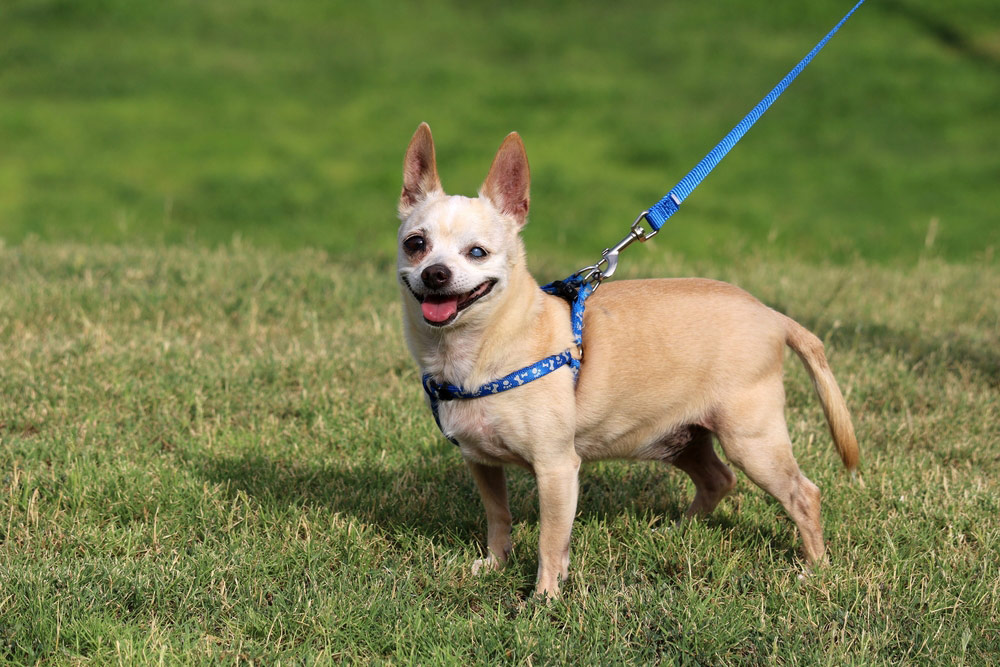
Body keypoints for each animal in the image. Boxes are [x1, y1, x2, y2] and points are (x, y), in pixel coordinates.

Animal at [394, 122, 856, 596]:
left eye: (477, 252)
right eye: (415, 244)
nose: (435, 273)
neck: (473, 353)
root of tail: (773, 315)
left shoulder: (556, 469)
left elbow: (550, 540)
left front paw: (544, 597)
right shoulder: (483, 463)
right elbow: (498, 517)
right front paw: (496, 564)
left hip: (751, 443)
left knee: (803, 494)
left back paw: (815, 568)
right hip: (681, 438)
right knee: (718, 479)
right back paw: (678, 532)